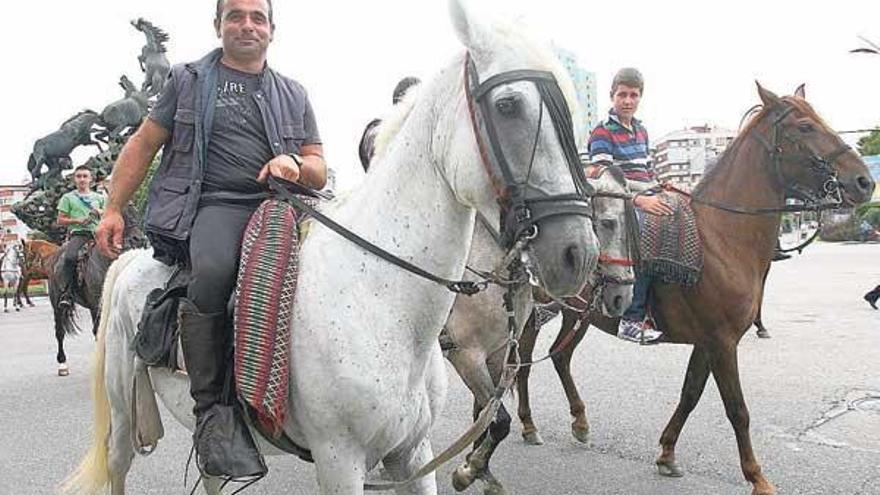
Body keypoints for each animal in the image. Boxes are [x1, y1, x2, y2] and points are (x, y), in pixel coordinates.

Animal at [67, 0, 600, 495]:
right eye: (508, 106)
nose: (579, 253)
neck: (382, 303)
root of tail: (132, 258)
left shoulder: (413, 453)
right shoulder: (340, 460)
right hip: (121, 418)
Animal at [444, 164, 636, 495]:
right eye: (608, 223)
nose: (622, 296)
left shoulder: (498, 352)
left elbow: (485, 413)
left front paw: (479, 468)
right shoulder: (466, 355)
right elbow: (497, 417)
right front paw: (469, 469)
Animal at [516, 84, 872, 495]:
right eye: (805, 126)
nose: (864, 181)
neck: (720, 236)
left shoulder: (709, 342)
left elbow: (690, 394)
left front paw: (667, 453)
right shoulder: (722, 343)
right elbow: (737, 410)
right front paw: (757, 477)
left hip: (577, 314)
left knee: (559, 357)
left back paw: (579, 422)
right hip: (532, 313)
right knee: (520, 363)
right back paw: (527, 424)